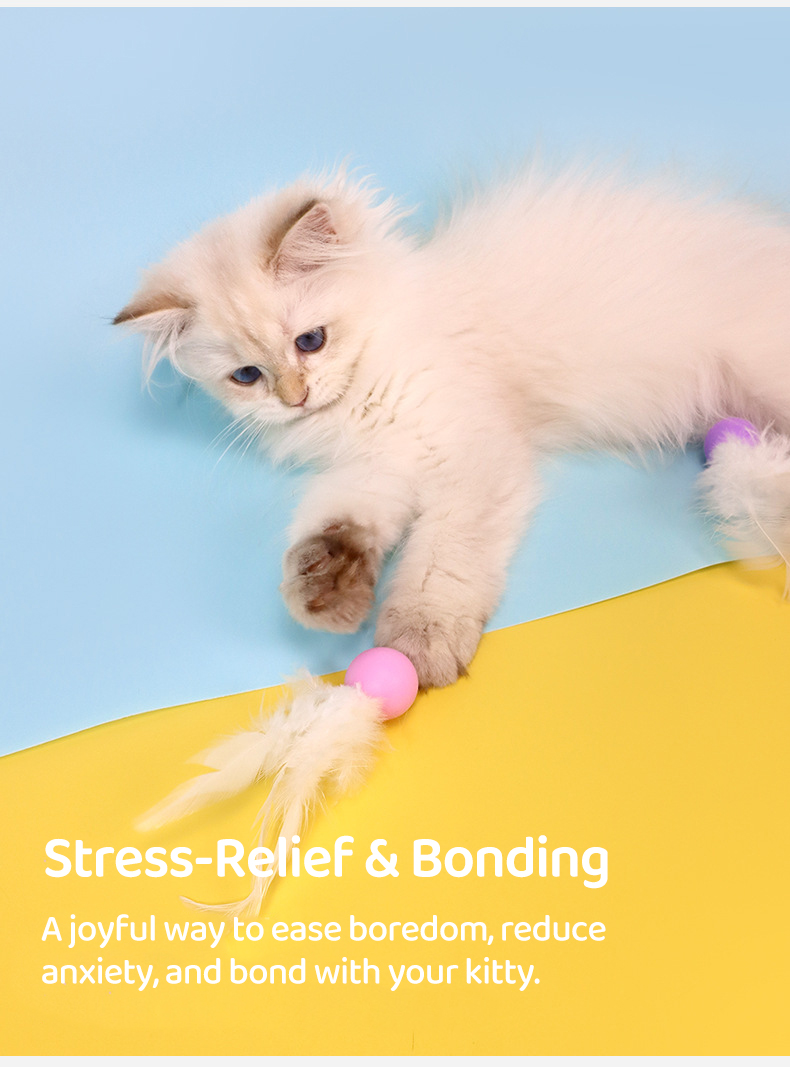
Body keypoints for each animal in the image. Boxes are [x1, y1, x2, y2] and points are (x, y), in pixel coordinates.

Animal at [115, 166, 790, 688]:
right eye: (247, 376)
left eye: (311, 341)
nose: (296, 398)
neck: (363, 399)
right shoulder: (380, 465)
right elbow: (339, 519)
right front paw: (327, 586)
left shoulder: (471, 455)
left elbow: (439, 563)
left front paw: (420, 641)